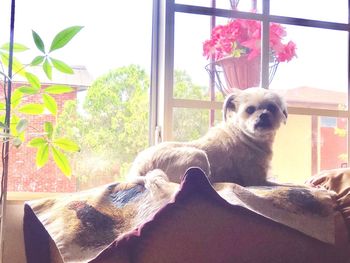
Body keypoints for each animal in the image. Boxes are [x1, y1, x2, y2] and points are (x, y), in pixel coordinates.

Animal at [128, 87, 288, 187]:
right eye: (250, 110)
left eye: (272, 108)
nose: (264, 115)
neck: (246, 137)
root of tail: (138, 168)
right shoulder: (257, 180)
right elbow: (287, 184)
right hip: (198, 155)